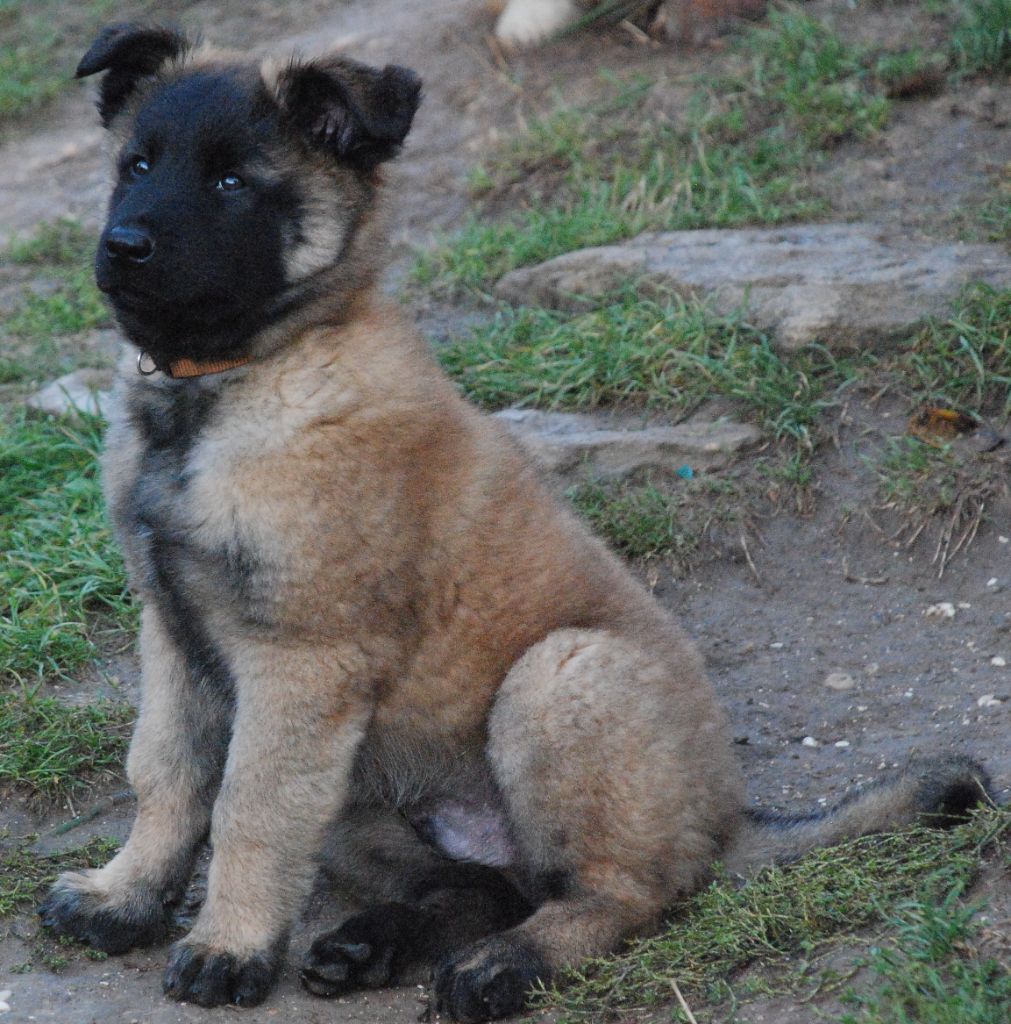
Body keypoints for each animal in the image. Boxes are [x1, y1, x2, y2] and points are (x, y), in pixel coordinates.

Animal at [43, 24, 991, 1024]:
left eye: (231, 183)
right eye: (136, 165)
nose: (122, 244)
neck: (233, 385)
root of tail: (729, 822)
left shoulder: (300, 660)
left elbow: (247, 810)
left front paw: (226, 947)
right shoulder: (173, 632)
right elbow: (165, 776)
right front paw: (124, 896)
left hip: (560, 681)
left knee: (621, 895)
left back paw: (506, 966)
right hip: (369, 796)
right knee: (477, 887)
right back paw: (373, 945)